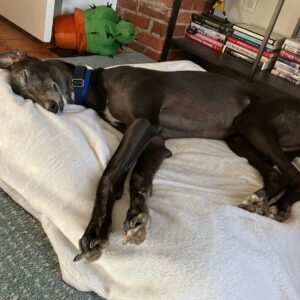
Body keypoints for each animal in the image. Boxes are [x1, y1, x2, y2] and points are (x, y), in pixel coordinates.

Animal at [0, 48, 300, 260]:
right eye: (23, 96)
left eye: (25, 75)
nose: (51, 108)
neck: (96, 84)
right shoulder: (154, 141)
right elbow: (136, 178)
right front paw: (136, 214)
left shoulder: (142, 124)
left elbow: (109, 175)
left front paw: (95, 230)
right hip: (238, 138)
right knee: (277, 176)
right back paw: (258, 200)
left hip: (252, 124)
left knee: (293, 174)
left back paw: (280, 208)